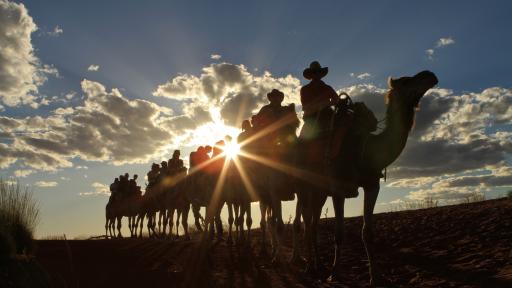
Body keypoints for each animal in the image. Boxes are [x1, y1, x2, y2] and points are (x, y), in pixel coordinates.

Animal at [290, 70, 438, 286]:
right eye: (405, 81)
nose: (430, 75)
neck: (366, 148)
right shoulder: (338, 189)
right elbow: (339, 234)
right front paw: (335, 273)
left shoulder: (371, 185)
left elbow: (367, 233)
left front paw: (375, 276)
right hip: (304, 186)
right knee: (306, 223)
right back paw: (309, 266)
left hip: (320, 192)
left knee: (314, 224)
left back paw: (317, 264)